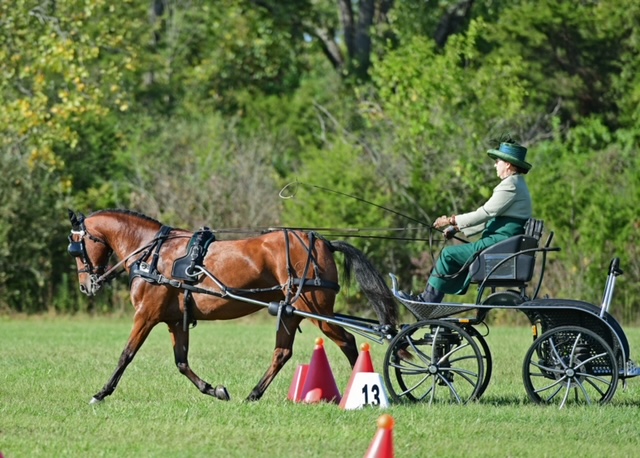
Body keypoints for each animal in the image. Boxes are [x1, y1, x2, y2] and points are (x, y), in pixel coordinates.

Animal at [67, 209, 398, 402]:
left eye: (77, 246)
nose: (85, 285)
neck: (153, 254)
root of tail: (323, 243)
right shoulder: (175, 320)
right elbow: (181, 361)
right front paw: (215, 390)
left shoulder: (146, 315)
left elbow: (126, 355)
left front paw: (101, 393)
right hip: (290, 312)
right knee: (282, 353)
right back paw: (253, 394)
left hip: (316, 310)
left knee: (348, 341)